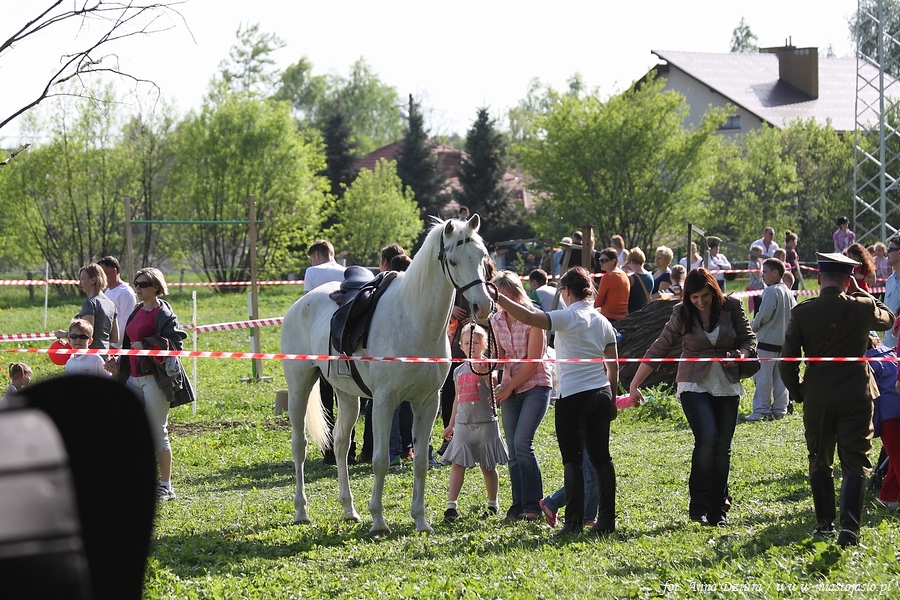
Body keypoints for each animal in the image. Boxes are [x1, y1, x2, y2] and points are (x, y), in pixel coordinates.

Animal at [282, 216, 496, 536]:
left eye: (482, 258)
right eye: (454, 261)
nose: (483, 306)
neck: (412, 320)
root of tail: (301, 303)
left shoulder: (427, 403)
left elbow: (420, 462)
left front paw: (420, 520)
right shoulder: (384, 403)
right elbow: (380, 460)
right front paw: (379, 521)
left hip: (348, 396)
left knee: (341, 444)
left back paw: (349, 509)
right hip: (300, 387)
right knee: (300, 447)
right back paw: (301, 512)